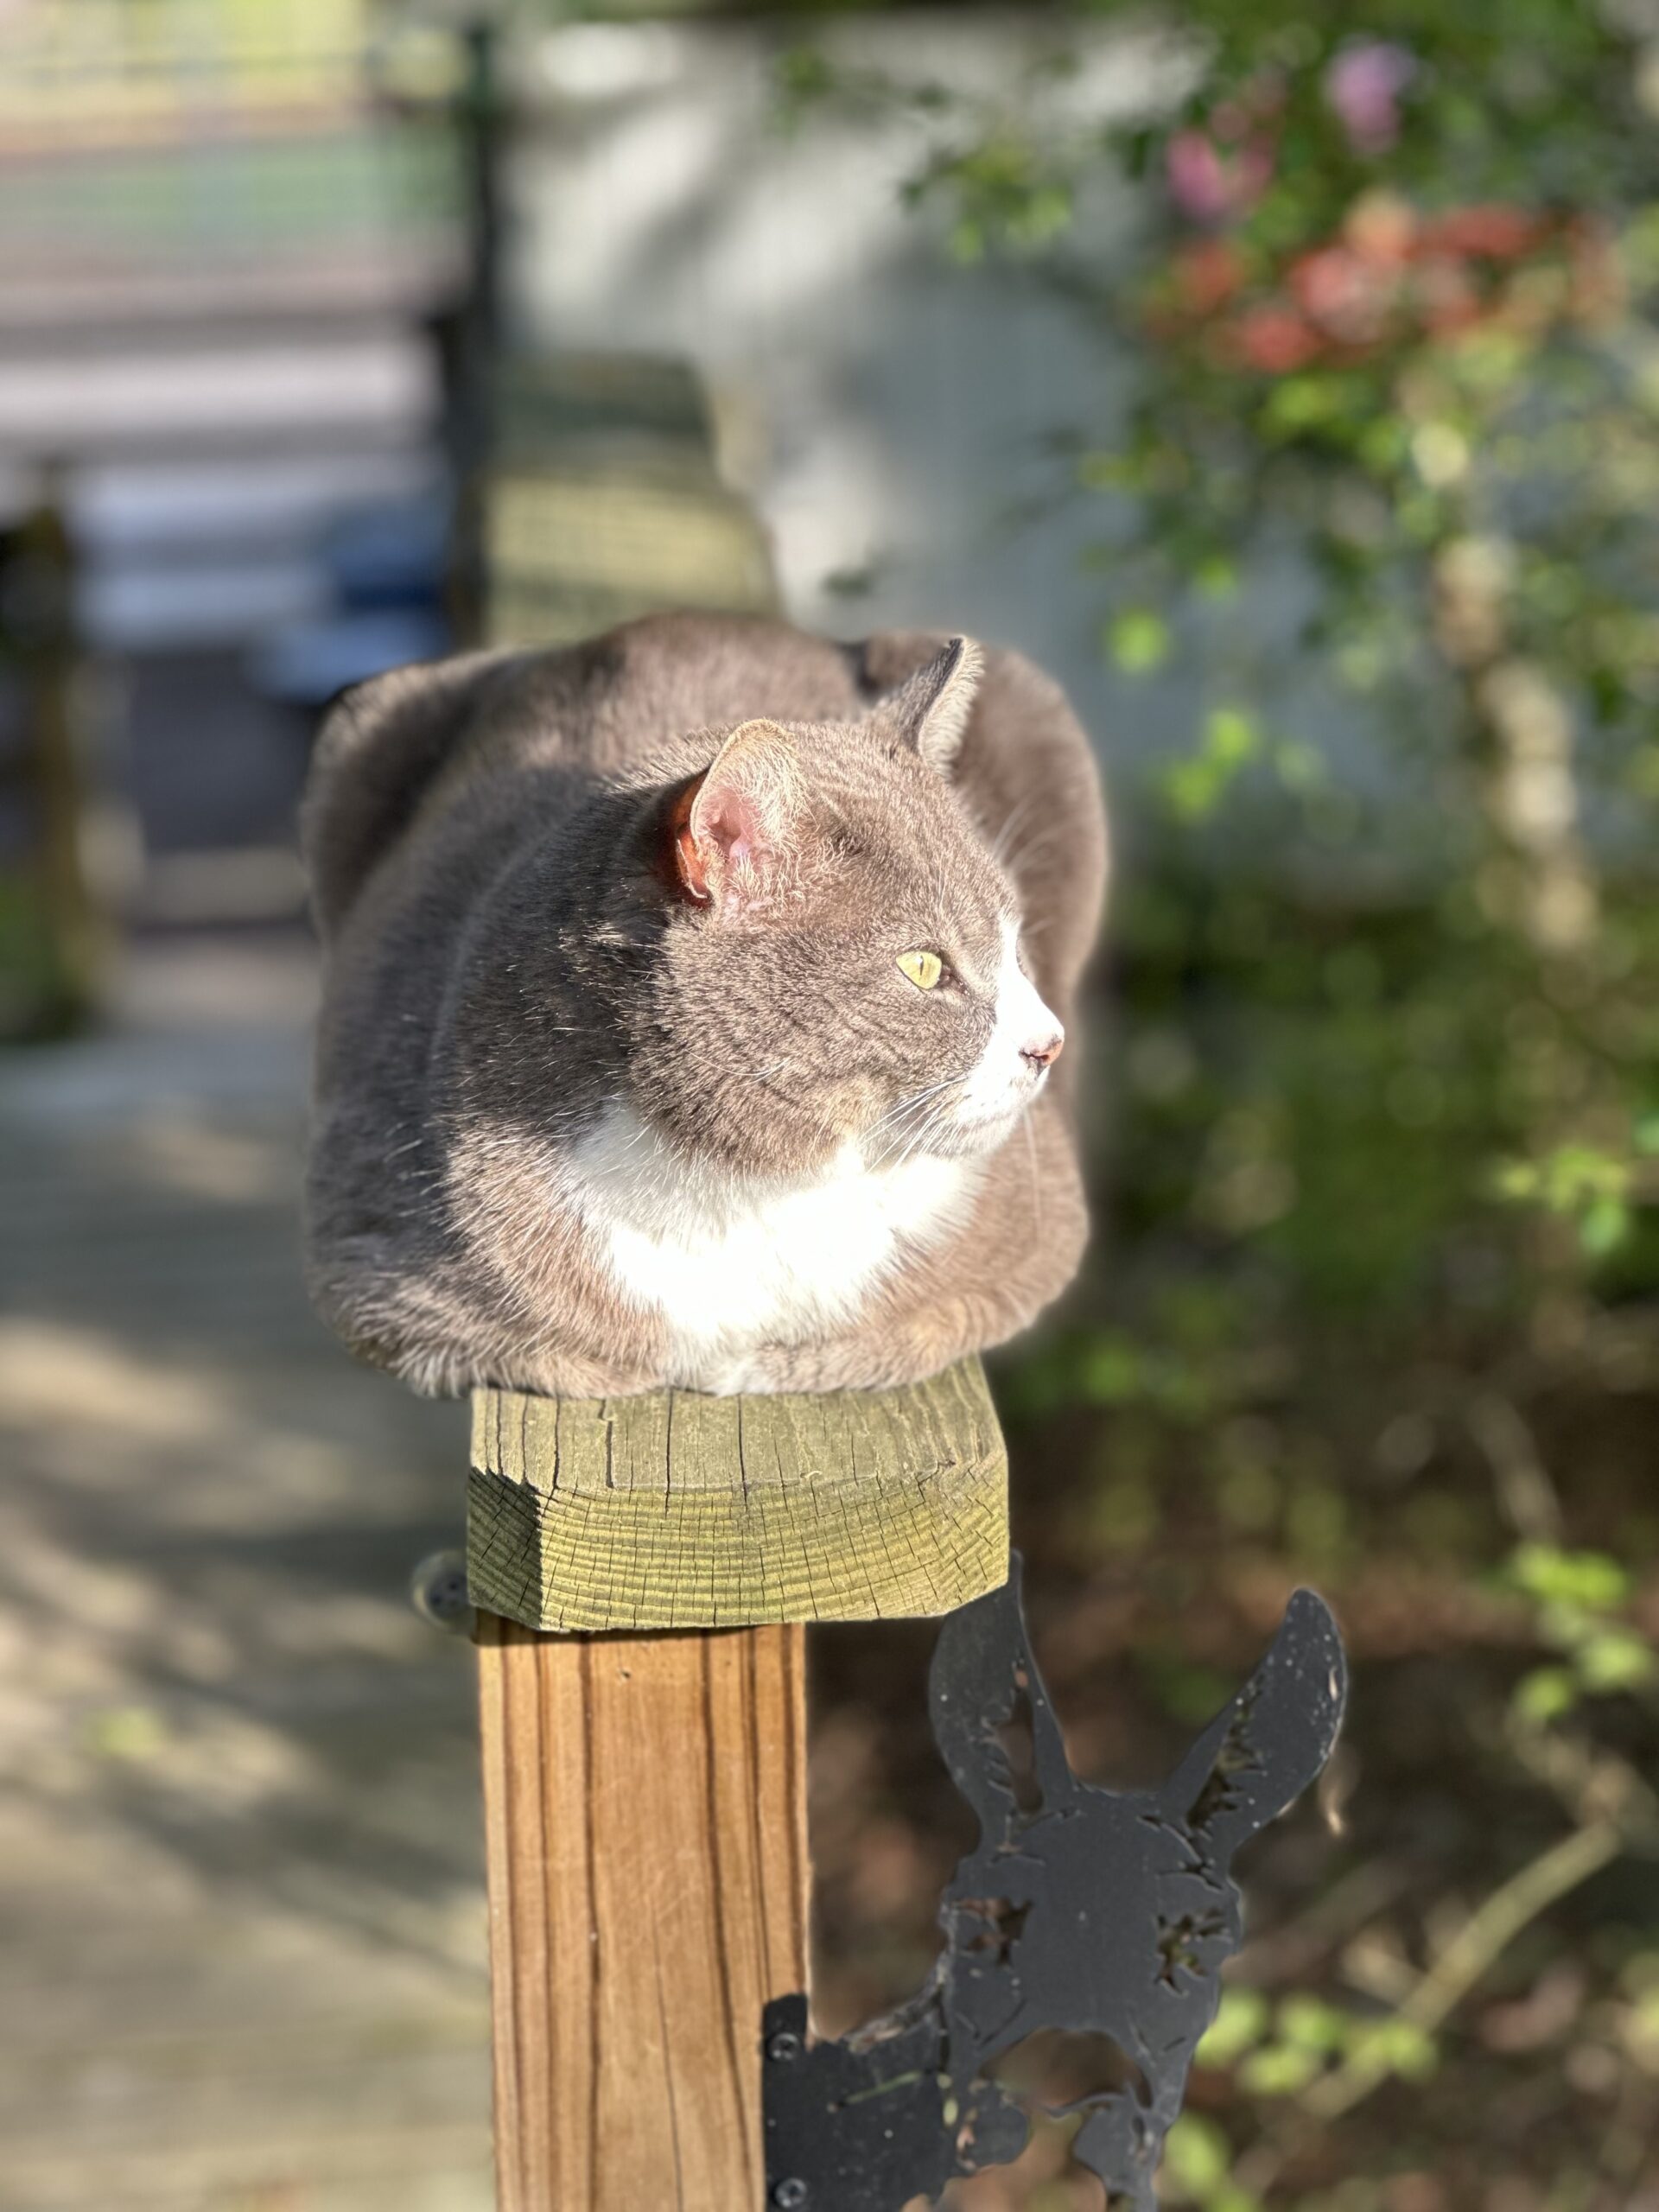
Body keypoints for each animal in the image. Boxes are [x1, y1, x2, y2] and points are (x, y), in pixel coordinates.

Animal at [305, 614, 1110, 1389]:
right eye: (924, 966)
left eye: (1015, 943)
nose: (1048, 1043)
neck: (746, 1185)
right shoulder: (377, 1246)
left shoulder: (1040, 1236)